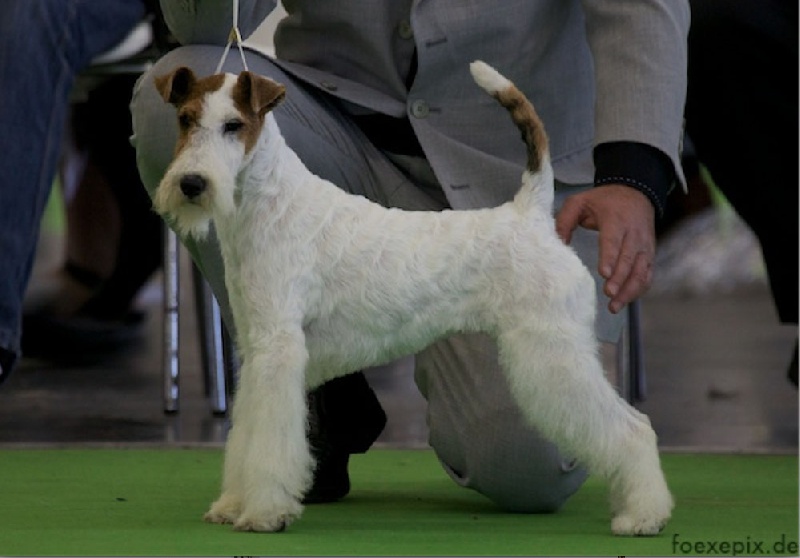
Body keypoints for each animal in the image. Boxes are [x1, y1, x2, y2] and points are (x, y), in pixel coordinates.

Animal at [153, 61, 672, 540]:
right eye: (185, 118)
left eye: (233, 125)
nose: (192, 184)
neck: (269, 206)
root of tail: (532, 214)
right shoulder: (258, 348)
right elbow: (245, 435)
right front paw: (230, 505)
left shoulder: (278, 351)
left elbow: (268, 444)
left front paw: (264, 513)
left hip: (553, 354)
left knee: (631, 427)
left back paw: (643, 515)